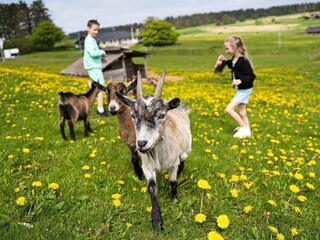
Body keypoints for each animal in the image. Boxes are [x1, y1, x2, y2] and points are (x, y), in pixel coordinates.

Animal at [116, 68, 191, 228]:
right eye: (133, 115)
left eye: (162, 115)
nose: (141, 143)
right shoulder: (147, 166)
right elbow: (151, 187)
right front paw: (156, 219)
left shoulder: (173, 163)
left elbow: (173, 182)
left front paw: (174, 199)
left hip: (186, 149)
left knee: (183, 160)